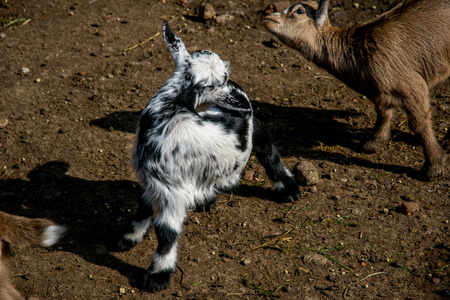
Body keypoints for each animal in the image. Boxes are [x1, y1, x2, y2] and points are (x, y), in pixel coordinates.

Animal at [264, 0, 450, 178]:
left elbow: (419, 124)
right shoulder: (380, 93)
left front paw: (433, 167)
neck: (358, 51)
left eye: (299, 11)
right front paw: (372, 143)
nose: (268, 17)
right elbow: (384, 113)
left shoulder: (413, 86)